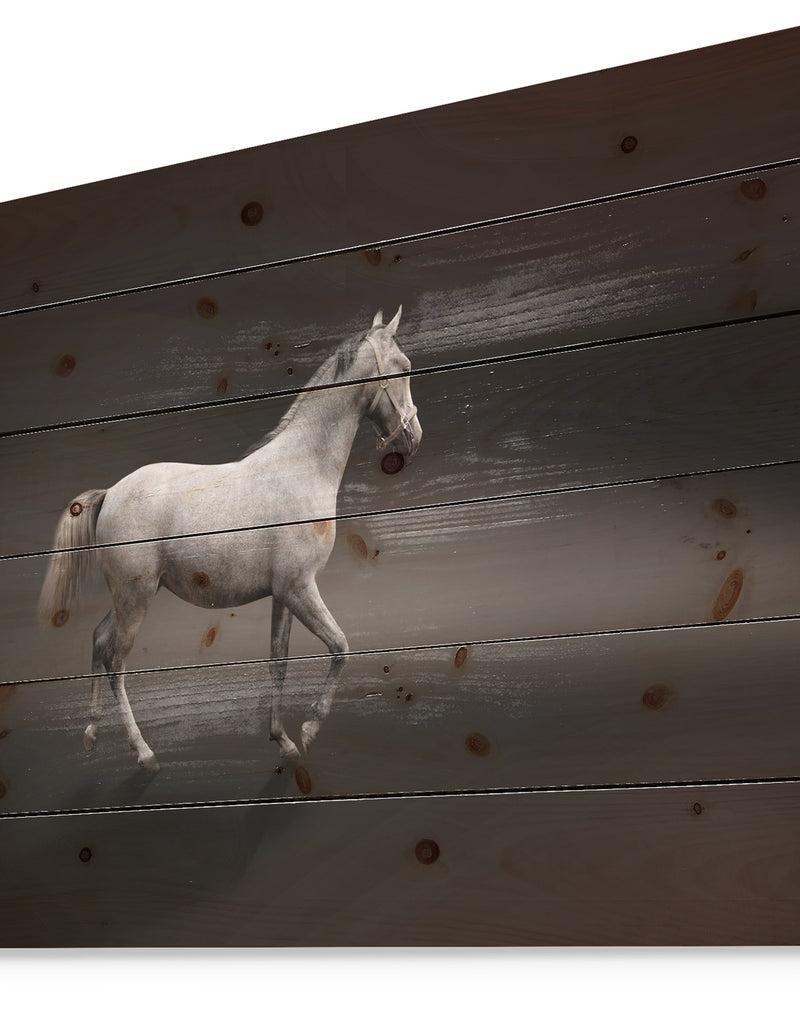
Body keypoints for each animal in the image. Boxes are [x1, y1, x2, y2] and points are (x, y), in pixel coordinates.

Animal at [38, 306, 422, 772]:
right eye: (403, 367)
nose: (414, 437)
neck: (300, 467)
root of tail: (110, 493)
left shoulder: (284, 594)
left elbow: (279, 661)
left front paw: (283, 740)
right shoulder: (300, 588)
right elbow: (340, 647)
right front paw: (310, 729)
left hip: (130, 596)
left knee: (97, 639)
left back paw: (91, 735)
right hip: (137, 599)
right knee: (115, 659)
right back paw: (145, 754)